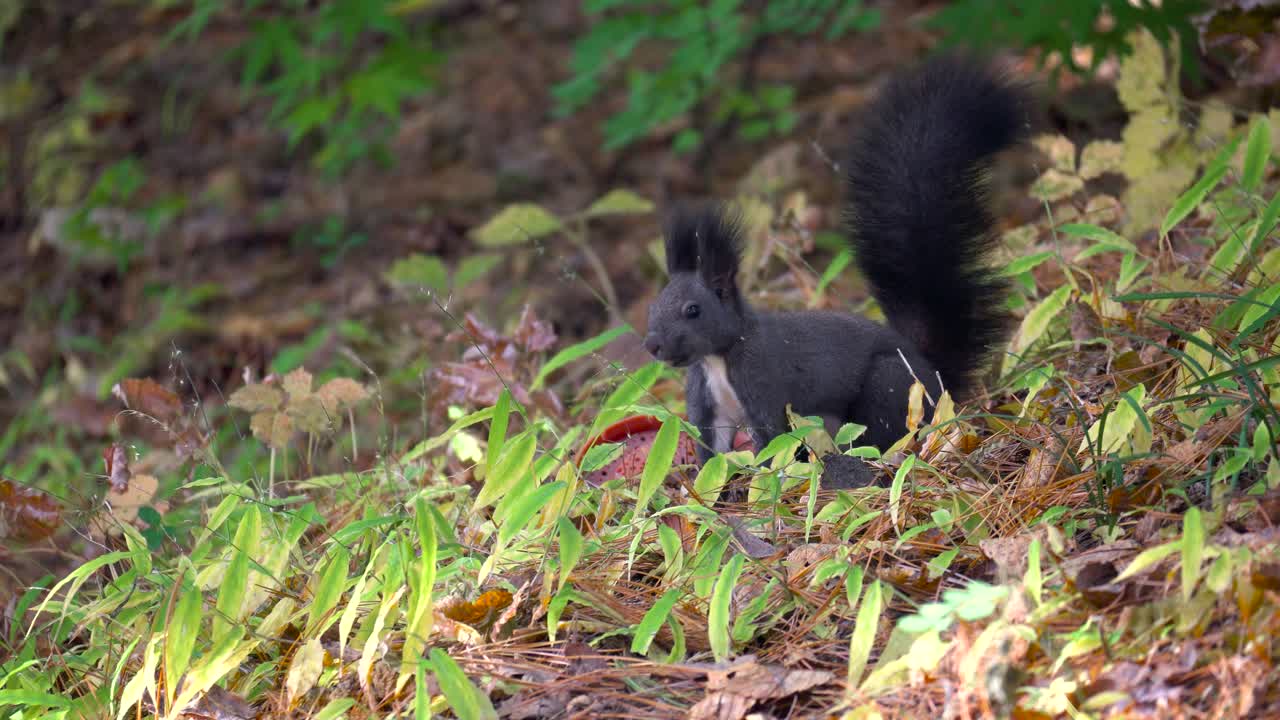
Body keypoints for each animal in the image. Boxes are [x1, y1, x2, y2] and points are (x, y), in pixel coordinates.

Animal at [642, 54, 1029, 462]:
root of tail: (935, 377)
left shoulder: (765, 383)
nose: (653, 345)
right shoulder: (710, 406)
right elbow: (712, 455)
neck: (717, 359)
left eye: (693, 310)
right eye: (652, 307)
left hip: (891, 386)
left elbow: (771, 444)